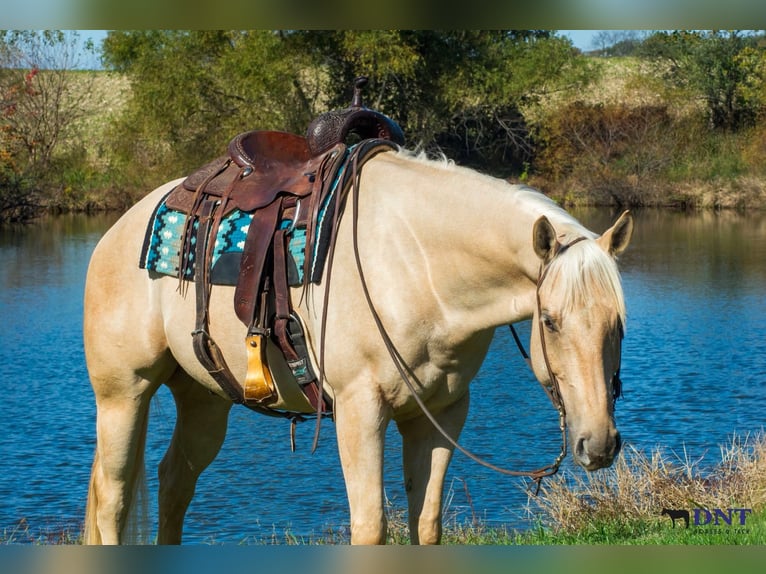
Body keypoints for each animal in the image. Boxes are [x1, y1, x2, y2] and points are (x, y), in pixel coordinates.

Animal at [82, 148, 633, 545]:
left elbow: (425, 524)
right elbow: (371, 528)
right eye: (550, 321)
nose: (599, 445)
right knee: (112, 499)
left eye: (620, 325)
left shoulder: (441, 415)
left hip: (204, 401)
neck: (417, 265)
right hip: (123, 395)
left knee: (174, 483)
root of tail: (118, 230)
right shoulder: (359, 410)